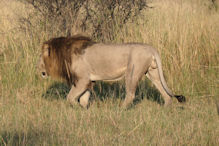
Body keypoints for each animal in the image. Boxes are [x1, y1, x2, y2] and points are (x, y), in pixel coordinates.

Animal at [37, 35, 185, 108]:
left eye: (40, 59)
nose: (38, 69)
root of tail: (151, 48)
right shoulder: (89, 81)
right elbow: (83, 99)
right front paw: (83, 111)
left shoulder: (82, 80)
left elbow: (70, 97)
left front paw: (77, 108)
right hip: (153, 73)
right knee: (165, 94)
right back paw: (165, 108)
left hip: (132, 72)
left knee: (130, 95)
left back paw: (120, 109)